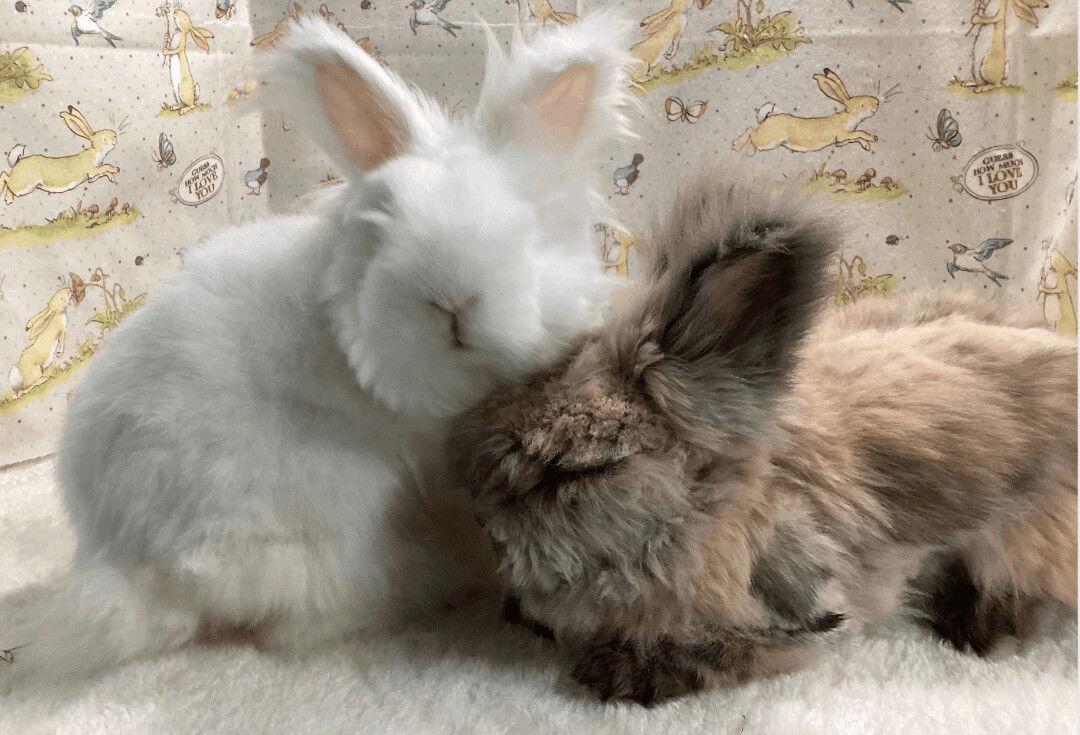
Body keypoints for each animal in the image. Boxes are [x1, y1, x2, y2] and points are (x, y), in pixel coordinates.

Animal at [0, 12, 635, 686]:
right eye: (385, 227)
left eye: (530, 228)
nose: (452, 298)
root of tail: (126, 565)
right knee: (305, 614)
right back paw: (434, 582)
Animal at [453, 166, 1071, 703]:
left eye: (581, 469)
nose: (483, 525)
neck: (714, 513)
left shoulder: (793, 614)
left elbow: (712, 649)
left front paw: (618, 674)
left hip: (1024, 539)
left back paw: (980, 631)